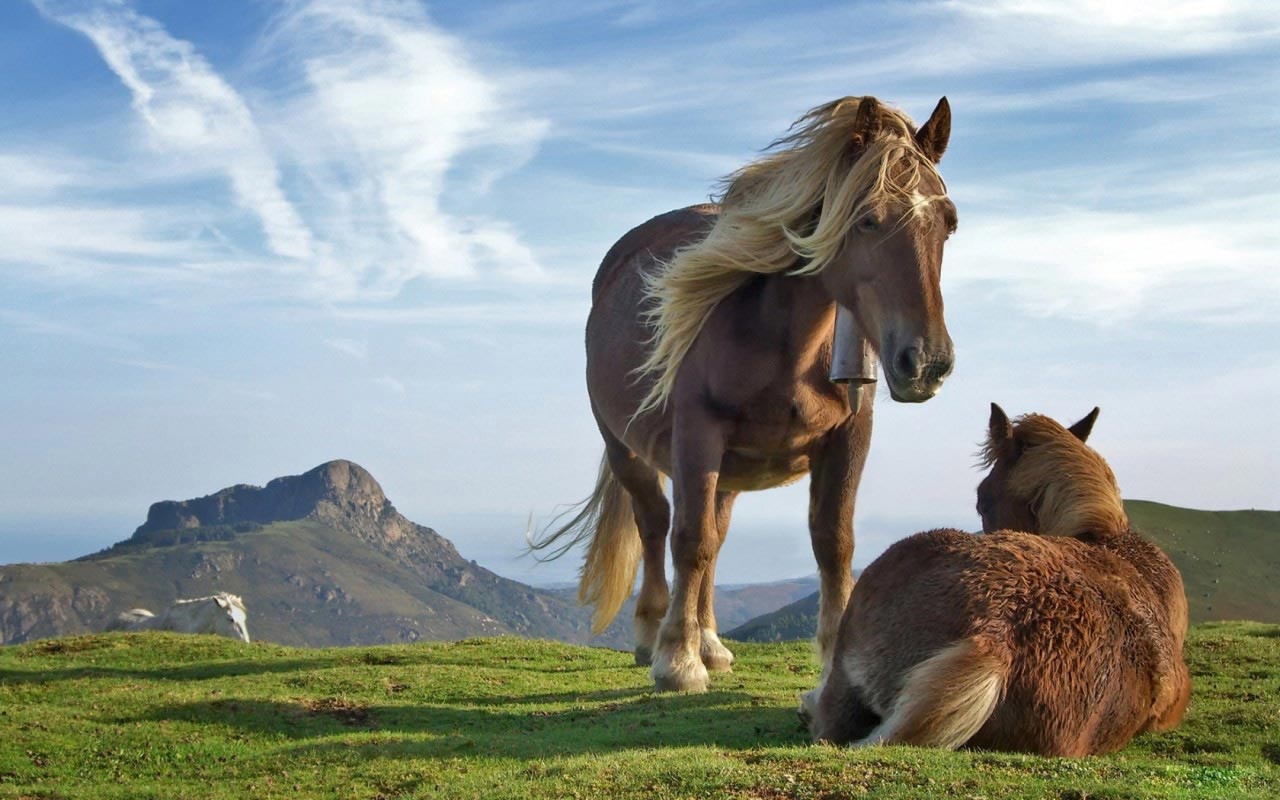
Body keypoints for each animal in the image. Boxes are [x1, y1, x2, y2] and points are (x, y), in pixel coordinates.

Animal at [532, 95, 962, 691]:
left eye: (948, 224)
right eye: (867, 219)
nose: (925, 363)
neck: (784, 342)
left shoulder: (850, 437)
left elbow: (833, 542)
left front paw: (831, 660)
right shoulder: (697, 434)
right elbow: (688, 540)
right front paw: (677, 660)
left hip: (731, 470)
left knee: (716, 536)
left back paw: (710, 641)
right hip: (628, 449)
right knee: (656, 525)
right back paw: (653, 634)